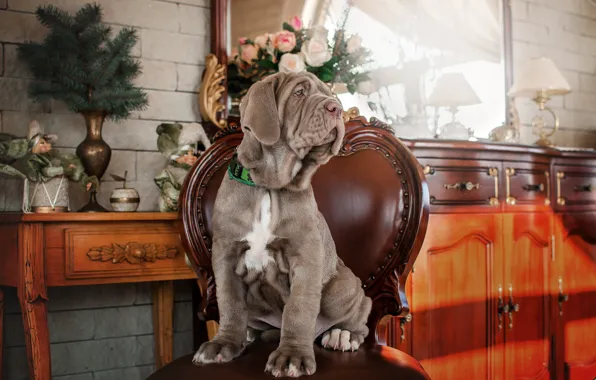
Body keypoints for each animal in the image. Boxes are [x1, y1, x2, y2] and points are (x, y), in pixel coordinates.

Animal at [193, 71, 370, 378]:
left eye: (332, 97)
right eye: (299, 93)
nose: (336, 109)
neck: (270, 185)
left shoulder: (305, 257)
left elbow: (298, 308)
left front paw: (292, 356)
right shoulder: (225, 255)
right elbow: (229, 303)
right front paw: (224, 343)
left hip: (342, 287)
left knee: (363, 311)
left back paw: (343, 334)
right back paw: (249, 333)